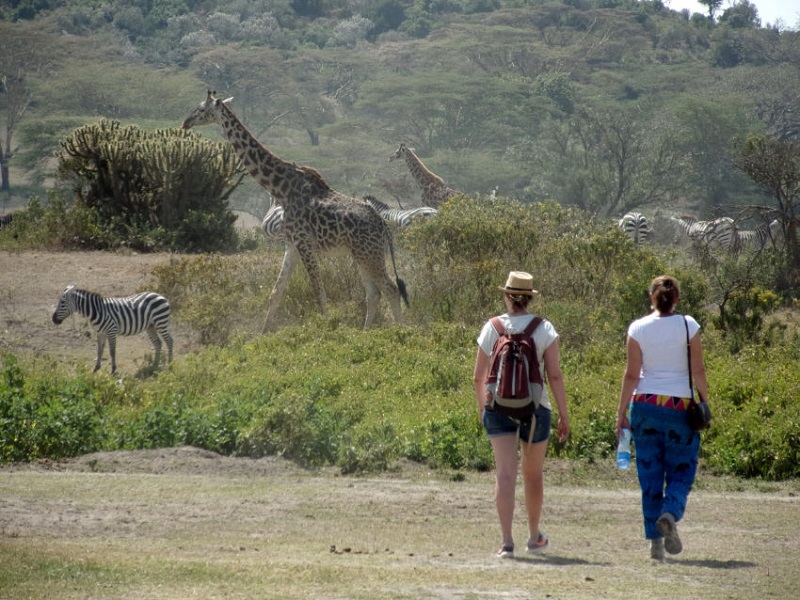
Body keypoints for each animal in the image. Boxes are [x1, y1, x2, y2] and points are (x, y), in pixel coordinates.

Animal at [181, 91, 406, 330]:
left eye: (201, 109)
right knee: (374, 294)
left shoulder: (304, 242)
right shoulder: (291, 245)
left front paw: (328, 330)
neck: (281, 189)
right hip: (362, 254)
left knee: (391, 290)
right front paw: (263, 333)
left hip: (369, 253)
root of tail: (383, 226)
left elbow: (319, 292)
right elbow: (275, 293)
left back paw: (403, 332)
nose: (186, 122)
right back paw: (365, 333)